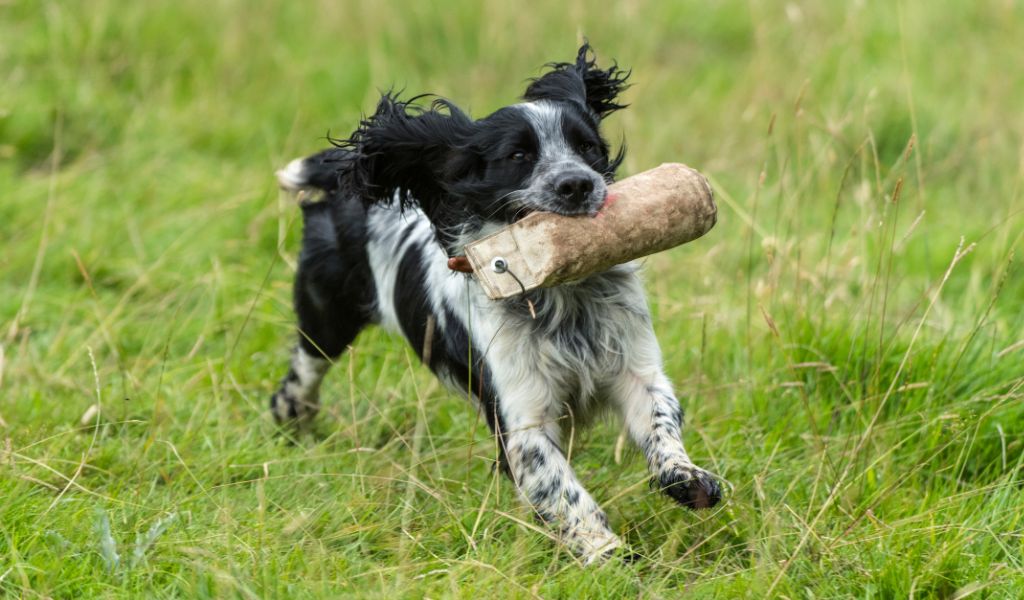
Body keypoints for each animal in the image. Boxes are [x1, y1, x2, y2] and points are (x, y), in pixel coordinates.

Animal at [272, 43, 720, 561]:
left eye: (588, 147)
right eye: (518, 155)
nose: (577, 184)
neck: (562, 296)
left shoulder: (634, 367)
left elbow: (659, 419)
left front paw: (686, 478)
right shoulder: (521, 417)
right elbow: (560, 487)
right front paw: (606, 552)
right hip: (325, 315)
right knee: (303, 372)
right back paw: (292, 421)